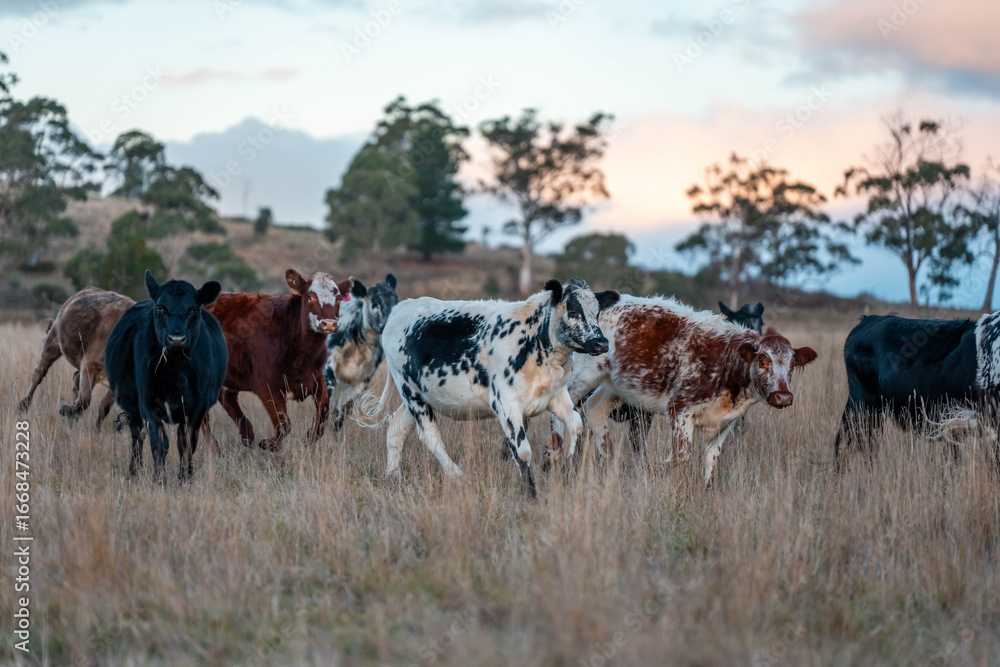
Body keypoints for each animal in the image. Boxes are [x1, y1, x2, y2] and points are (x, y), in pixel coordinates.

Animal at [19, 287, 135, 428]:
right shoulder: (90, 366)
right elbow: (85, 400)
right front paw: (64, 410)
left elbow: (104, 407)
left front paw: (96, 428)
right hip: (53, 343)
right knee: (39, 373)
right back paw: (24, 405)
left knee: (75, 379)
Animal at [105, 271, 227, 481]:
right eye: (161, 307)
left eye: (194, 308)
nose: (176, 338)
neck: (176, 372)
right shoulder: (147, 403)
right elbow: (159, 443)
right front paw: (159, 480)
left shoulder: (197, 407)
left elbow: (186, 443)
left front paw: (185, 478)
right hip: (134, 409)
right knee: (137, 438)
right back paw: (133, 473)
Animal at [203, 269, 354, 451]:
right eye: (310, 297)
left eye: (339, 299)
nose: (329, 323)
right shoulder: (267, 387)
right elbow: (284, 424)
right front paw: (269, 444)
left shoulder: (315, 378)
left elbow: (324, 409)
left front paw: (309, 437)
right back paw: (214, 448)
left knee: (227, 397)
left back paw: (247, 436)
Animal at [370, 279, 619, 497]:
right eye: (573, 310)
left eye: (597, 312)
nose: (601, 343)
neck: (533, 341)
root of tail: (401, 308)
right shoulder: (506, 404)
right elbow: (523, 451)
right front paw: (530, 495)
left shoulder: (557, 395)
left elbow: (576, 425)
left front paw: (567, 464)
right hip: (411, 394)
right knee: (430, 435)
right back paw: (458, 476)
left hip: (419, 397)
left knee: (396, 426)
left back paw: (394, 477)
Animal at [561, 295, 817, 488]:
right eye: (762, 361)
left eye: (792, 365)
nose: (782, 396)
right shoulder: (680, 410)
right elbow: (680, 456)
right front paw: (648, 473)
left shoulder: (726, 422)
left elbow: (711, 460)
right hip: (578, 379)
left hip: (616, 385)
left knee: (594, 409)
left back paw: (608, 464)